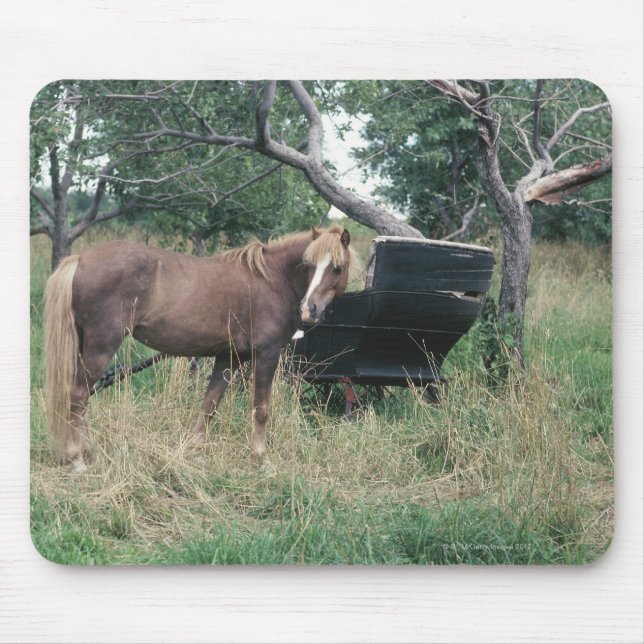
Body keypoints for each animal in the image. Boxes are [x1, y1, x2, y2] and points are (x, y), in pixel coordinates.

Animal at [44, 225, 359, 472]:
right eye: (309, 267)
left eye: (337, 268)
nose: (309, 309)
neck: (271, 280)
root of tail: (80, 258)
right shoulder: (266, 356)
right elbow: (260, 409)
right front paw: (262, 458)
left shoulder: (229, 357)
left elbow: (209, 404)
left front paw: (194, 451)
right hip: (101, 345)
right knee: (78, 395)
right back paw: (77, 459)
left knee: (82, 398)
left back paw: (88, 451)